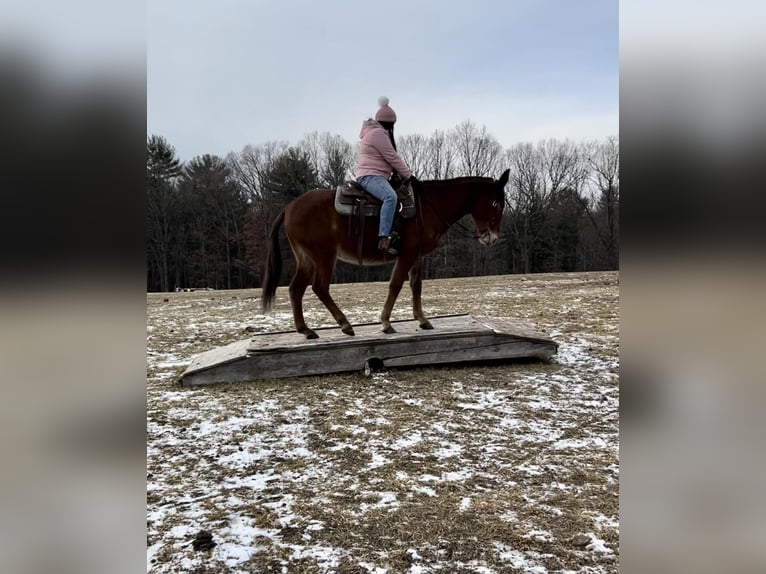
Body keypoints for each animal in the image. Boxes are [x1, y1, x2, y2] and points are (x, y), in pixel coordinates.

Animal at [261, 169, 510, 339]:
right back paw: (345, 324)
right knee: (319, 287)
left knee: (296, 289)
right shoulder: (407, 254)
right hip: (324, 256)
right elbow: (396, 284)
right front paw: (386, 323)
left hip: (306, 258)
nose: (492, 238)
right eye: (496, 203)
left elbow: (416, 284)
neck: (429, 205)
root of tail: (288, 208)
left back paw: (305, 329)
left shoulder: (417, 256)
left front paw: (422, 319)